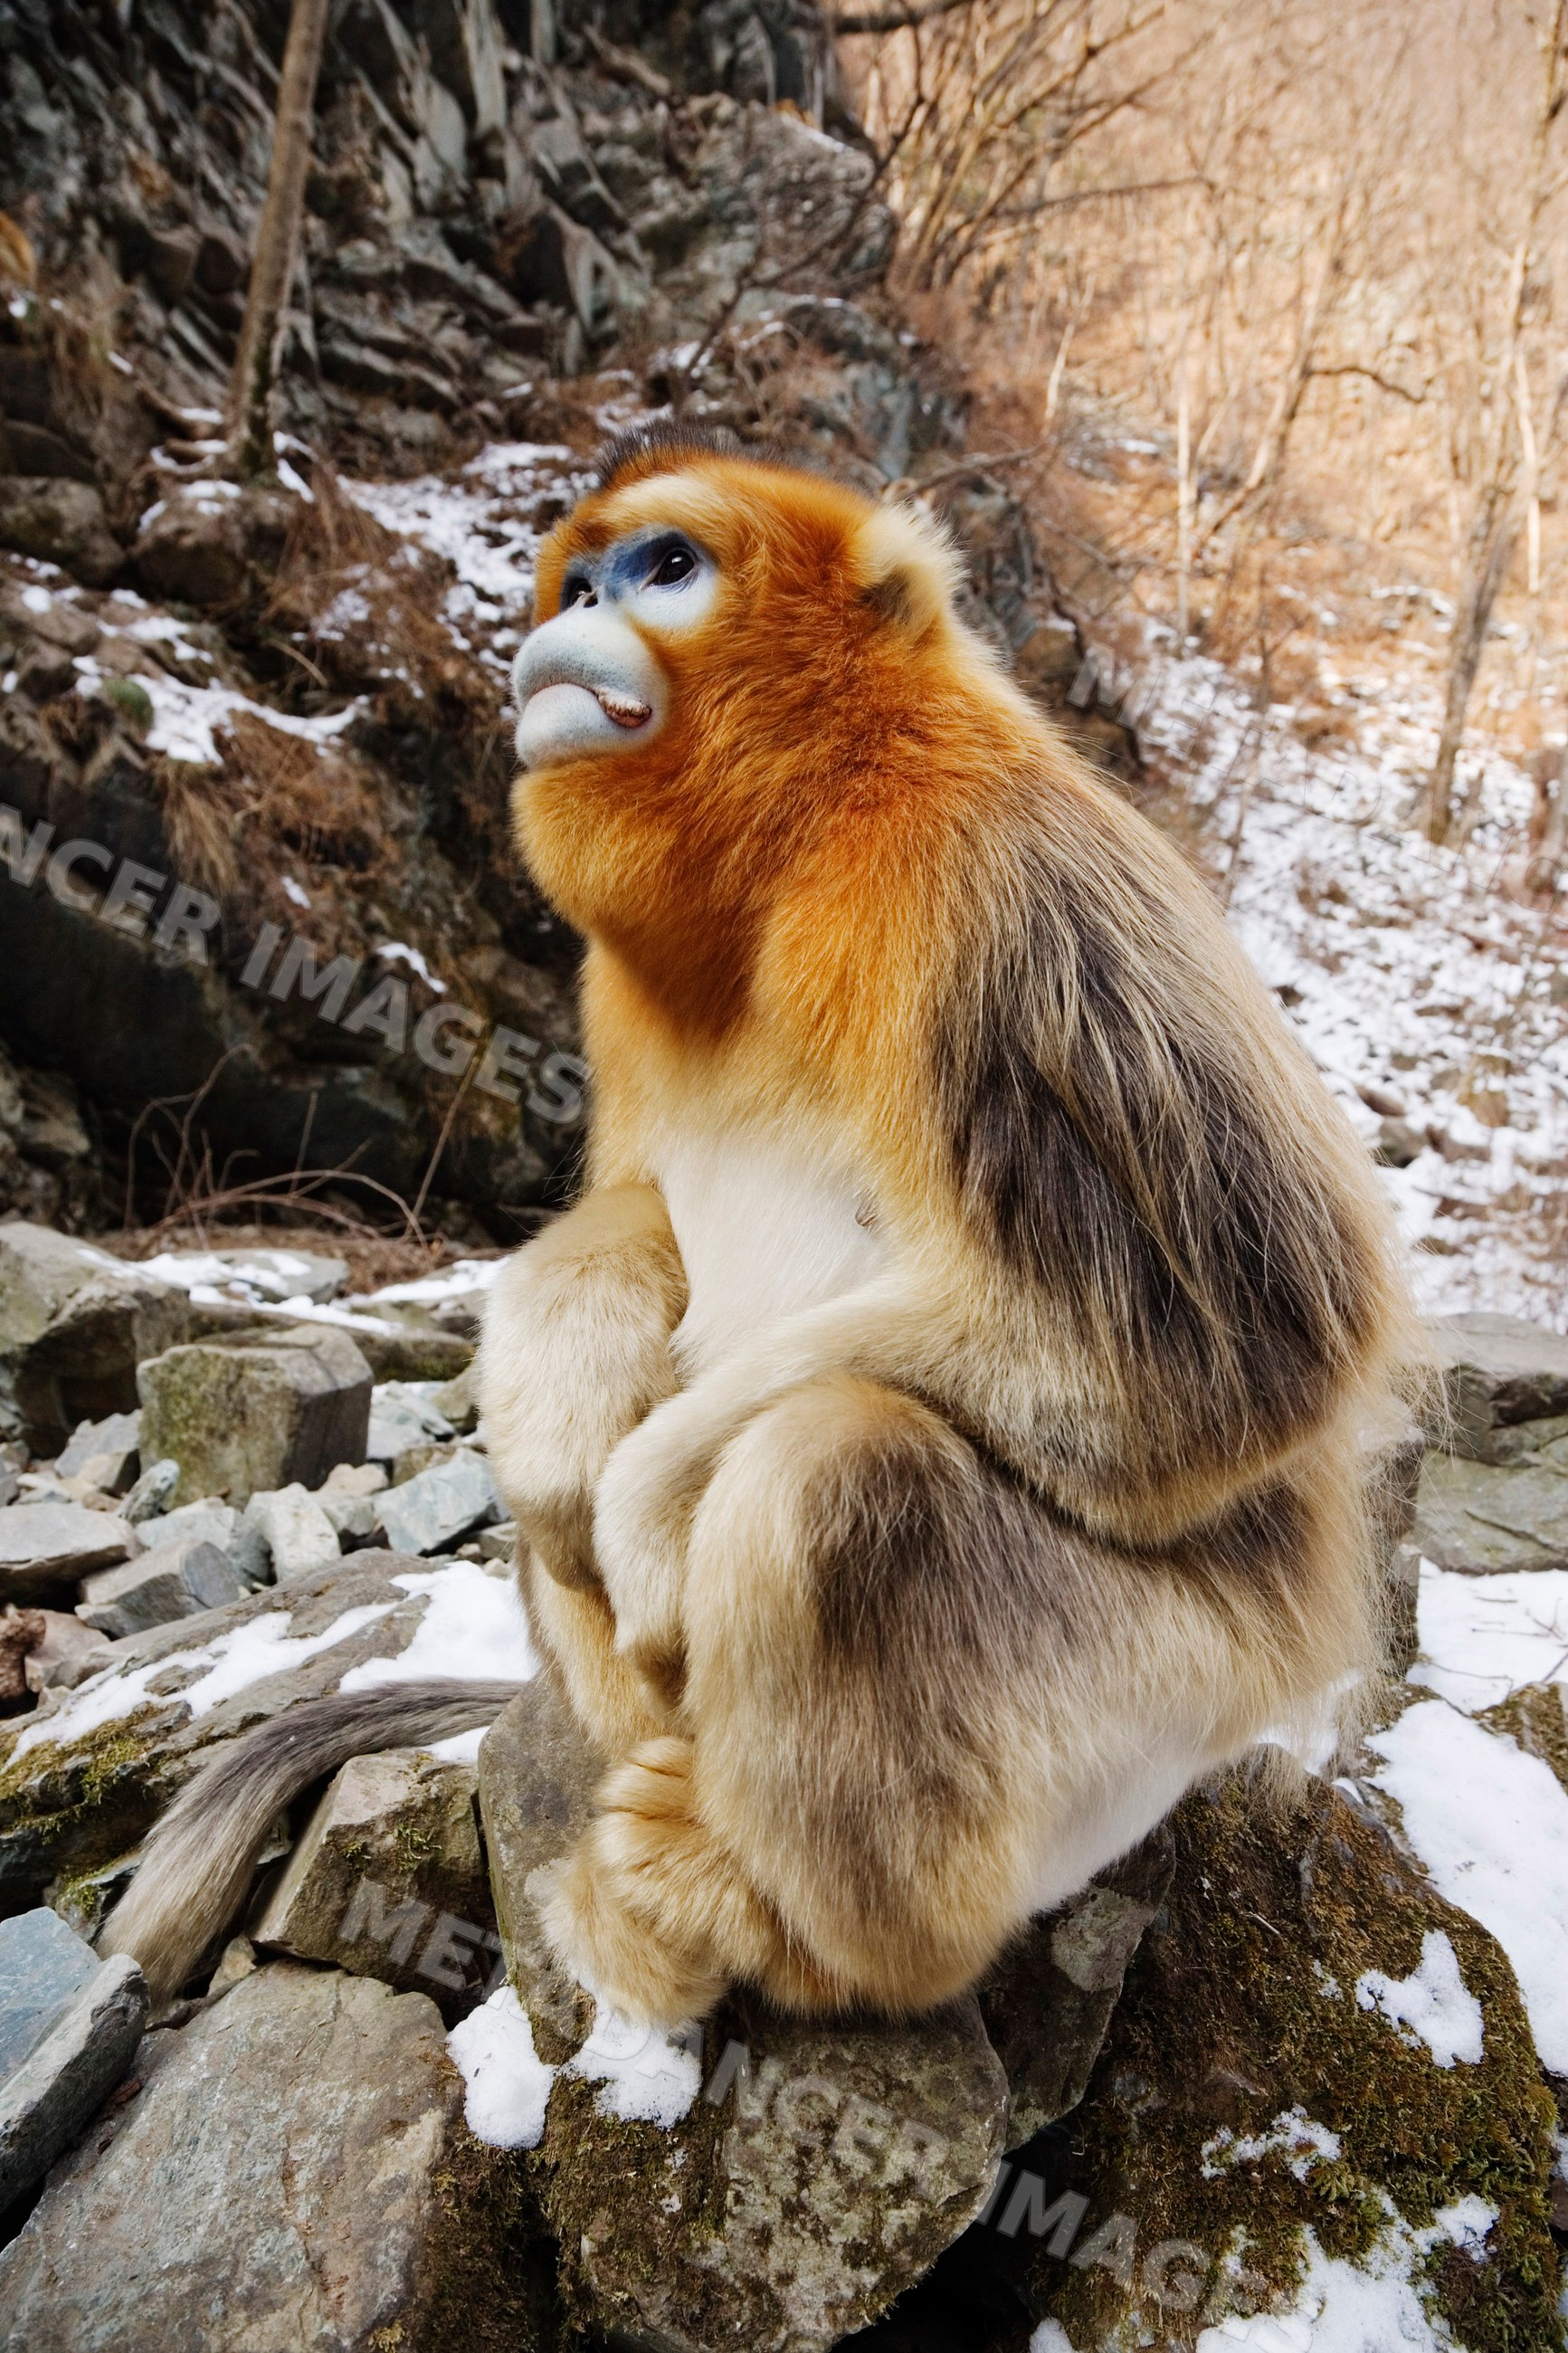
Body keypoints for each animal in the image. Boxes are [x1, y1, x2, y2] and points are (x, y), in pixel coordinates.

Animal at [102, 423, 1414, 2027]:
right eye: (580, 577)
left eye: (665, 566)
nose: (574, 614)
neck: (803, 836)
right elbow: (629, 1218)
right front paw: (564, 1405)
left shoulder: (994, 880)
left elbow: (1238, 1339)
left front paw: (649, 1504)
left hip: (1161, 1712)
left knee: (830, 1477)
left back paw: (774, 1922)